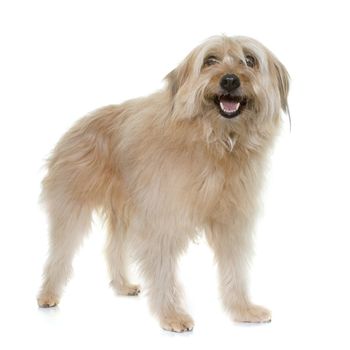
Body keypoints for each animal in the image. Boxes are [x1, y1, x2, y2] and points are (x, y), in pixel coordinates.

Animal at [38, 36, 290, 334]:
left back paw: (122, 285)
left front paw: (243, 309)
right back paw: (47, 294)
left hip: (124, 211)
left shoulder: (232, 223)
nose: (230, 80)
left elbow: (235, 269)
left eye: (250, 60)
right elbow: (163, 269)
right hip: (72, 210)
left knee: (113, 248)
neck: (214, 143)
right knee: (59, 254)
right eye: (210, 61)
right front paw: (172, 315)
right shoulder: (161, 220)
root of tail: (76, 126)